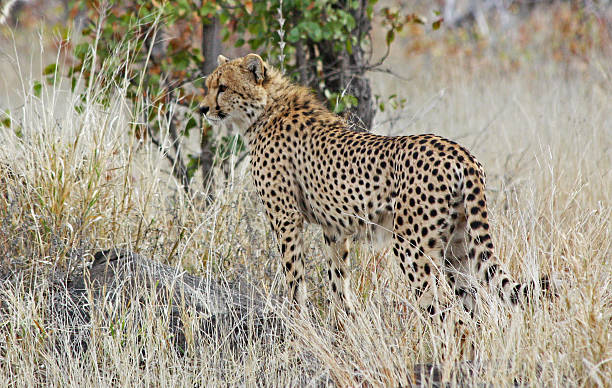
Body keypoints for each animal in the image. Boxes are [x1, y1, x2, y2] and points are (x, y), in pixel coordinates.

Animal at [201, 53, 548, 320]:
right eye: (208, 86)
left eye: (222, 87)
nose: (203, 109)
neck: (265, 110)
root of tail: (459, 151)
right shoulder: (335, 228)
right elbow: (337, 277)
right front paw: (345, 320)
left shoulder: (286, 217)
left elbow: (294, 274)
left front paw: (298, 318)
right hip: (458, 245)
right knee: (472, 307)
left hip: (412, 245)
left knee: (445, 311)